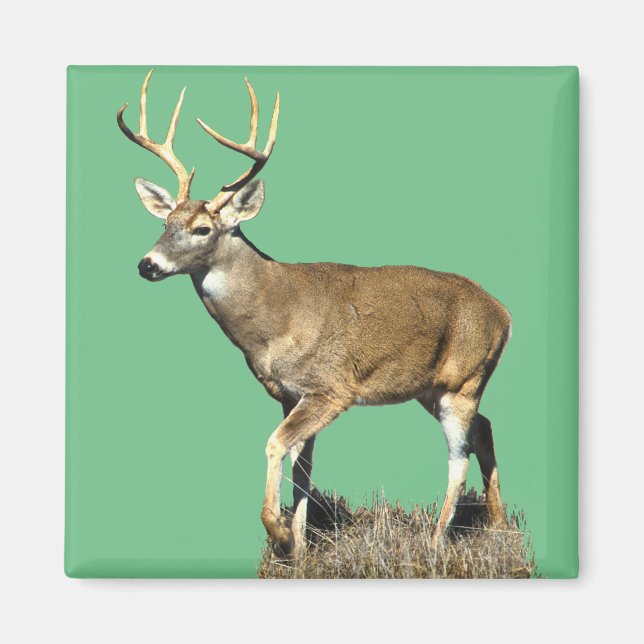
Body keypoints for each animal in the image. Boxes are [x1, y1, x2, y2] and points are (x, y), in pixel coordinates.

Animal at [117, 70, 512, 558]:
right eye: (164, 224)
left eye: (202, 228)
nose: (147, 265)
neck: (274, 322)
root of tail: (503, 312)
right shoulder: (290, 393)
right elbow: (302, 467)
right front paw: (302, 548)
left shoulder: (331, 387)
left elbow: (275, 445)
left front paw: (280, 531)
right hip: (433, 387)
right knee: (486, 429)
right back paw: (499, 526)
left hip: (464, 379)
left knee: (458, 456)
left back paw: (437, 541)